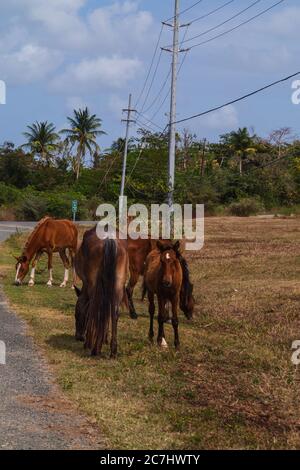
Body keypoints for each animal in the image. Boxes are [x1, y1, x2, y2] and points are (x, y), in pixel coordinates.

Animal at [74, 227, 128, 356]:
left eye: (76, 315)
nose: (78, 336)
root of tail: (109, 240)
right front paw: (105, 338)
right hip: (118, 285)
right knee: (114, 312)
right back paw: (113, 350)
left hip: (94, 286)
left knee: (95, 309)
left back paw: (93, 347)